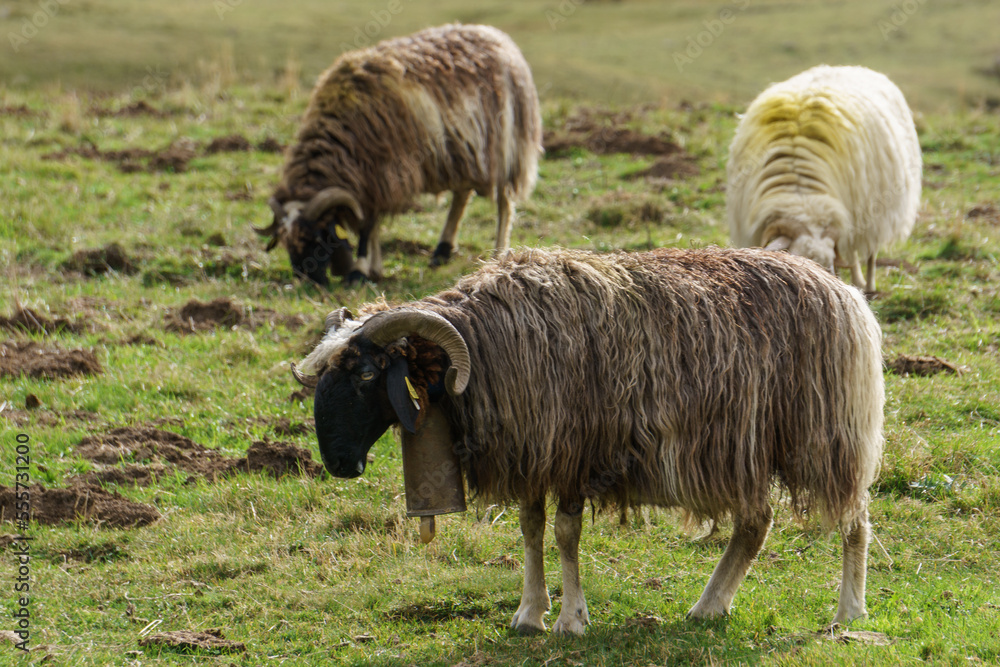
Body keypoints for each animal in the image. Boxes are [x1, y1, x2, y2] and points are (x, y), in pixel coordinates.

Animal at [254, 23, 543, 285]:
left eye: (317, 237)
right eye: (285, 240)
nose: (306, 280)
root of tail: (500, 39)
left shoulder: (380, 173)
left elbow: (367, 225)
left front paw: (359, 272)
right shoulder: (369, 178)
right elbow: (371, 226)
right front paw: (374, 269)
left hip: (506, 148)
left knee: (504, 203)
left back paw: (498, 253)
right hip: (462, 152)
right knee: (462, 195)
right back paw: (442, 251)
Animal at [292, 246, 885, 634]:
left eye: (368, 375)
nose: (338, 463)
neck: (484, 346)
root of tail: (844, 292)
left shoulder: (574, 451)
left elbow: (565, 535)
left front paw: (571, 619)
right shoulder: (534, 455)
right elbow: (531, 530)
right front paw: (529, 614)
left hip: (827, 435)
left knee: (855, 518)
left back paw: (848, 613)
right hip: (750, 447)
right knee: (756, 523)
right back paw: (709, 606)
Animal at [727, 65, 922, 293]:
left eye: (828, 267)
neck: (801, 192)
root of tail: (850, 68)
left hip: (876, 209)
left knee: (870, 252)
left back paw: (867, 285)